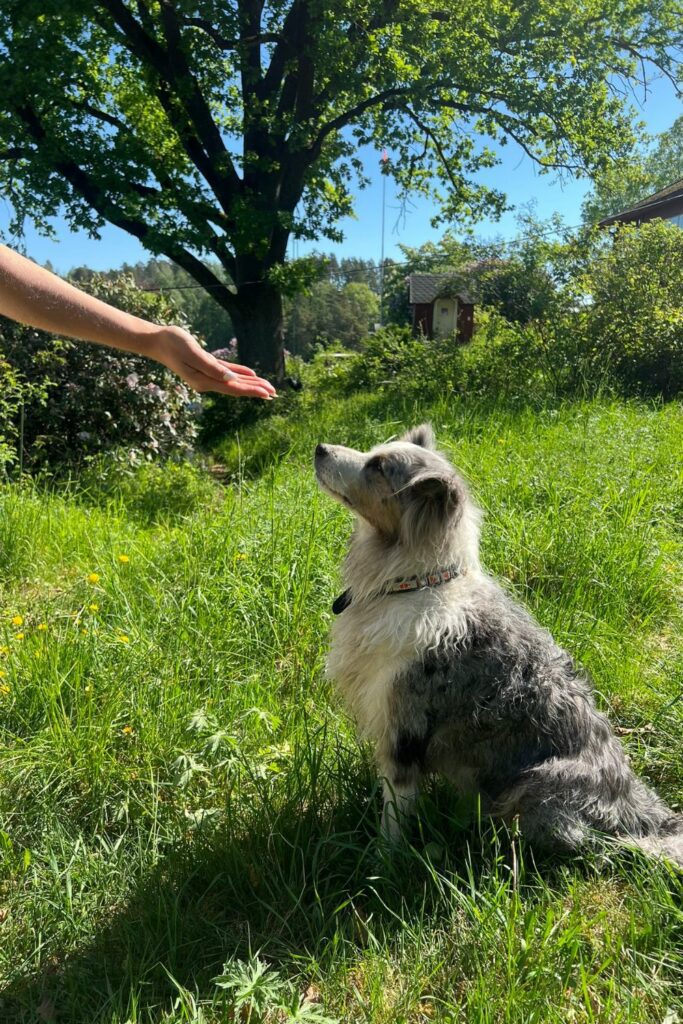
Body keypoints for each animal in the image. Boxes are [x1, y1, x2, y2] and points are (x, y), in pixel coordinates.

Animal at [315, 423, 683, 864]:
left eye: (378, 467)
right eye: (372, 453)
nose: (319, 448)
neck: (414, 582)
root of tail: (638, 813)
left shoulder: (405, 726)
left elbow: (395, 809)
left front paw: (383, 860)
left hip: (537, 788)